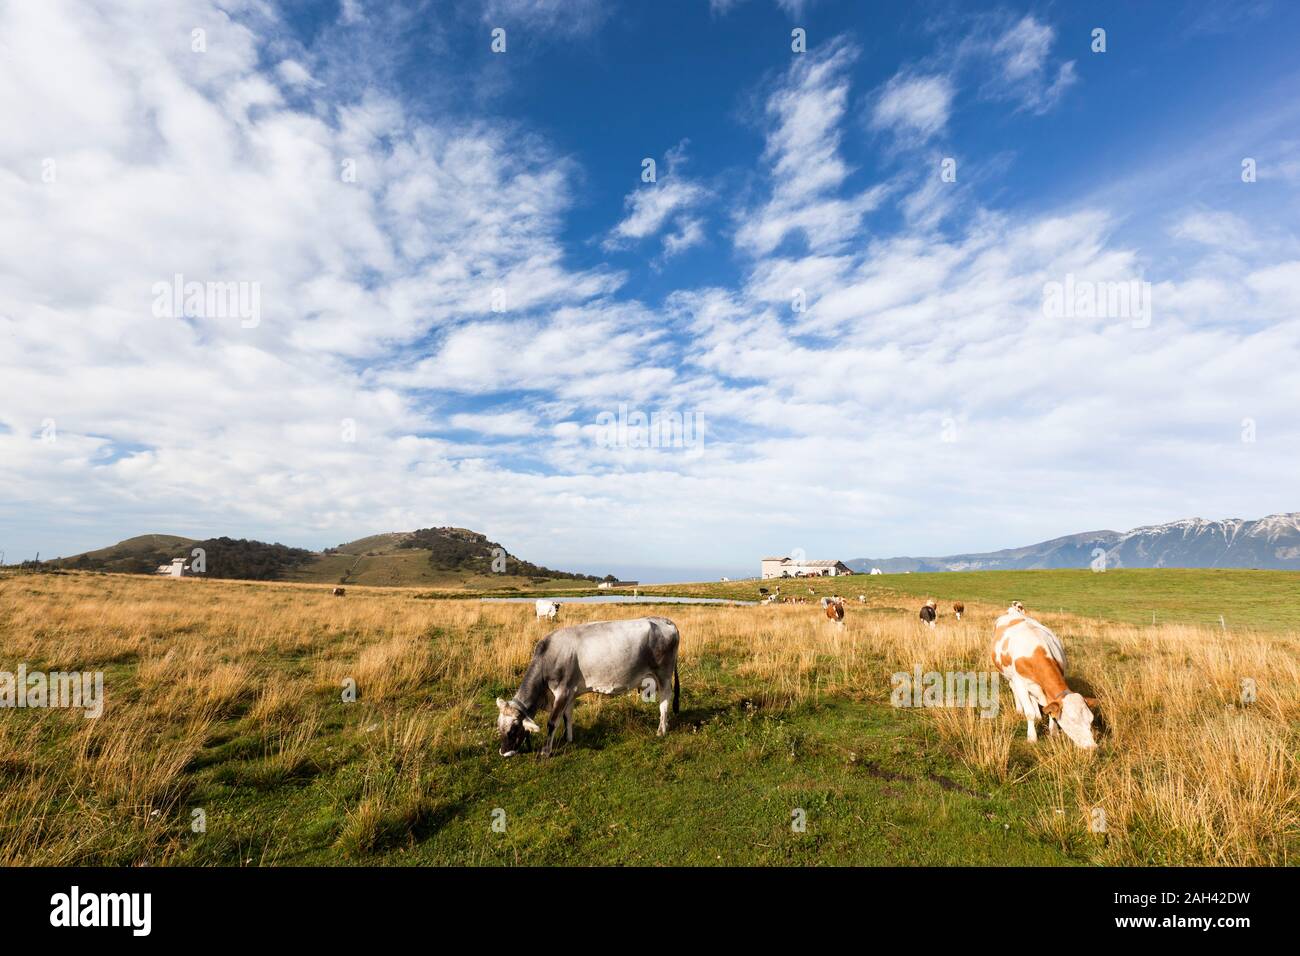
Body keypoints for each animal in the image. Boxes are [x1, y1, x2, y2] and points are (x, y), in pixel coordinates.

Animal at [493, 616, 686, 759]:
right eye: (499, 727)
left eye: (513, 729)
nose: (503, 752)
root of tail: (665, 621)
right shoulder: (570, 692)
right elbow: (567, 717)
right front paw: (568, 738)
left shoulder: (562, 691)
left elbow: (552, 722)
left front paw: (546, 751)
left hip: (663, 674)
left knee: (664, 700)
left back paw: (661, 730)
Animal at [993, 606, 1097, 749]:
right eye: (1072, 720)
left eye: (1091, 719)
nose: (1093, 746)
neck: (1036, 651)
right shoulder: (1020, 683)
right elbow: (1029, 712)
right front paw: (1032, 737)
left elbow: (1050, 711)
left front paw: (1054, 733)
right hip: (1009, 676)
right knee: (1013, 688)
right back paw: (1019, 709)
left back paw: (1038, 715)